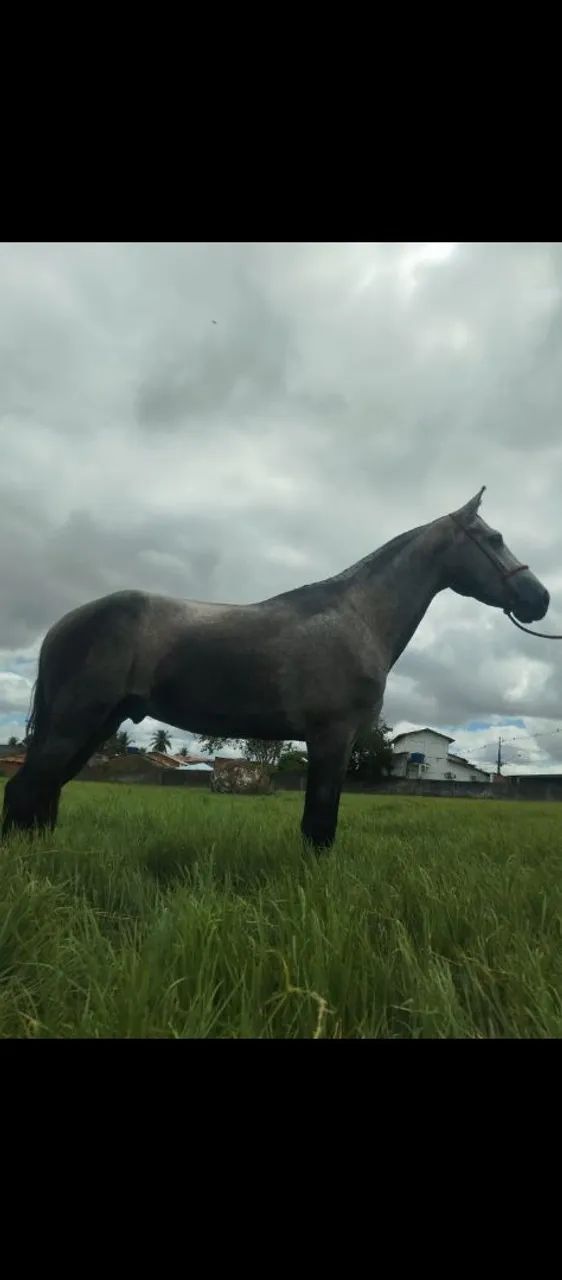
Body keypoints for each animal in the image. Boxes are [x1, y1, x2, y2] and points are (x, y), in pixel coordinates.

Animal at [1, 487, 550, 850]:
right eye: (494, 538)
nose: (539, 599)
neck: (358, 616)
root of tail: (63, 623)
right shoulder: (332, 738)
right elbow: (319, 825)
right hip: (77, 722)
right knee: (25, 791)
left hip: (98, 725)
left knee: (43, 793)